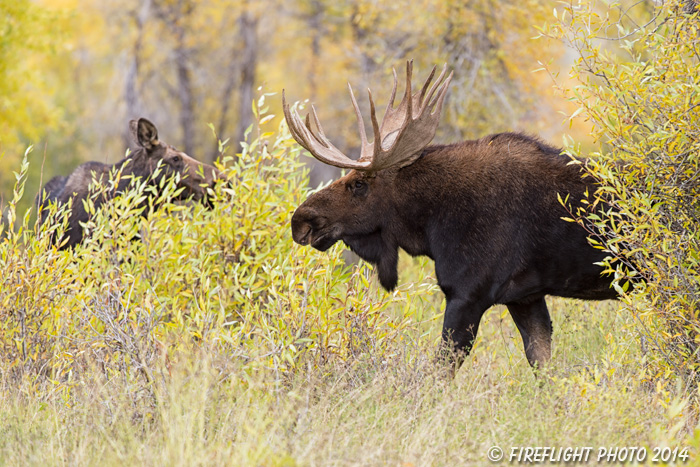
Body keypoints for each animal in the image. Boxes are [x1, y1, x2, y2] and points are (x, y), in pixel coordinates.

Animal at [282, 61, 616, 372]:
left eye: (359, 184)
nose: (301, 220)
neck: (431, 224)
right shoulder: (524, 297)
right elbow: (542, 364)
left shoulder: (468, 293)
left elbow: (440, 370)